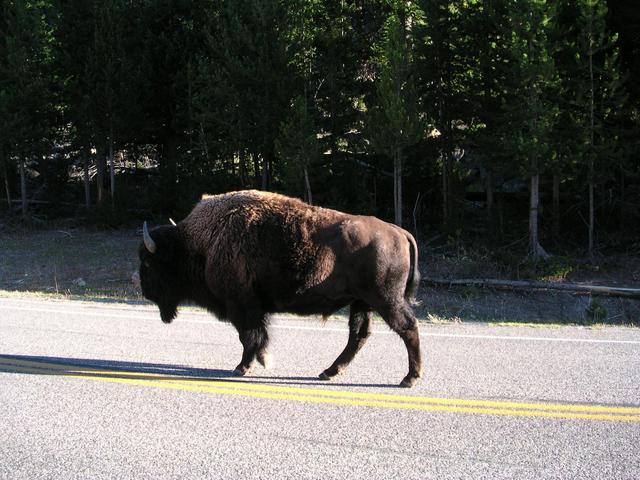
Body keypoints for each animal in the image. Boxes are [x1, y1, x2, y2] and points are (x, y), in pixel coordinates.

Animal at [134, 189, 422, 388]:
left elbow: (249, 336)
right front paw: (259, 360)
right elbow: (255, 335)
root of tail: (399, 232)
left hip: (385, 300)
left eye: (148, 262)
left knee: (407, 327)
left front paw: (246, 366)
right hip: (361, 302)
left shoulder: (242, 306)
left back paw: (409, 378)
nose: (143, 291)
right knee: (358, 335)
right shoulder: (252, 309)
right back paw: (328, 372)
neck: (200, 241)